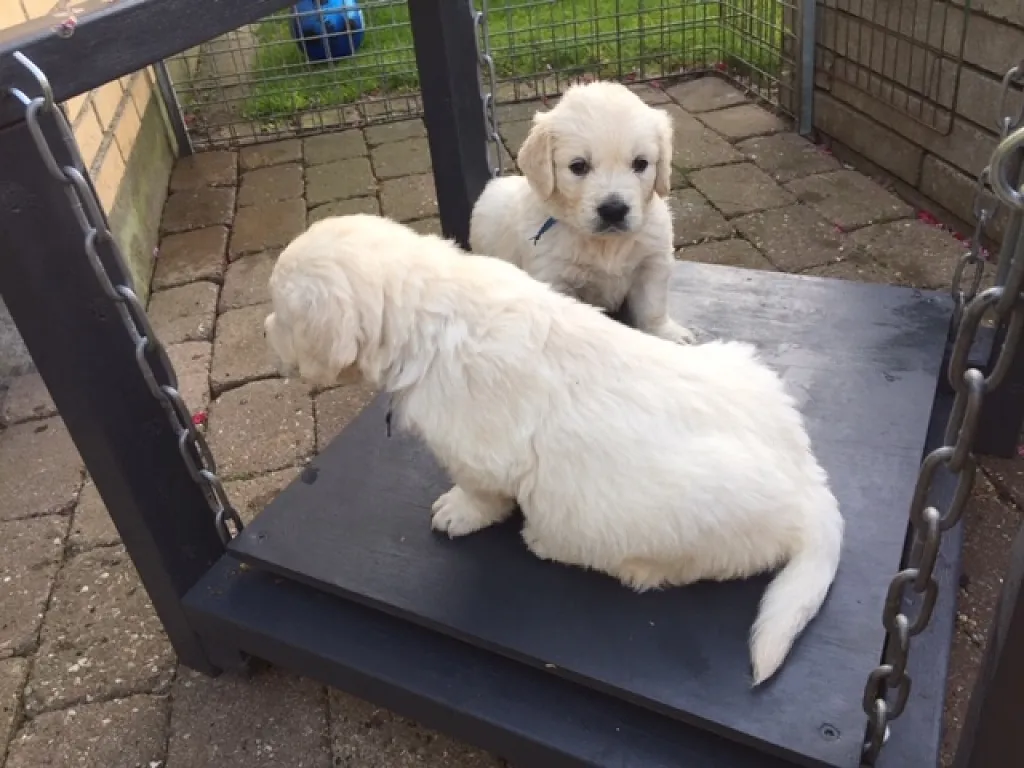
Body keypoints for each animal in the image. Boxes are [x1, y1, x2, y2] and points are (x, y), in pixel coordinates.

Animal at [265, 214, 844, 686]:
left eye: (282, 313)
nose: (262, 328)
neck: (431, 309)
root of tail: (810, 486)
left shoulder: (479, 450)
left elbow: (481, 493)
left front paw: (458, 512)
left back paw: (599, 558)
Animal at [470, 80, 695, 345]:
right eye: (578, 166)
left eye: (640, 163)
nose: (613, 210)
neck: (605, 243)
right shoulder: (553, 276)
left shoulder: (652, 261)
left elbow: (653, 306)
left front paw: (667, 334)